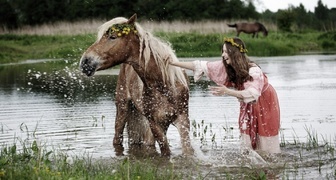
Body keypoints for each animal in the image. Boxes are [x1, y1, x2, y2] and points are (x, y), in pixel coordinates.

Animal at [79, 13, 194, 157]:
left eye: (113, 37)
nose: (85, 61)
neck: (164, 84)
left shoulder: (182, 119)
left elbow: (187, 151)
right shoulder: (154, 123)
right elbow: (165, 150)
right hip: (123, 108)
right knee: (117, 139)